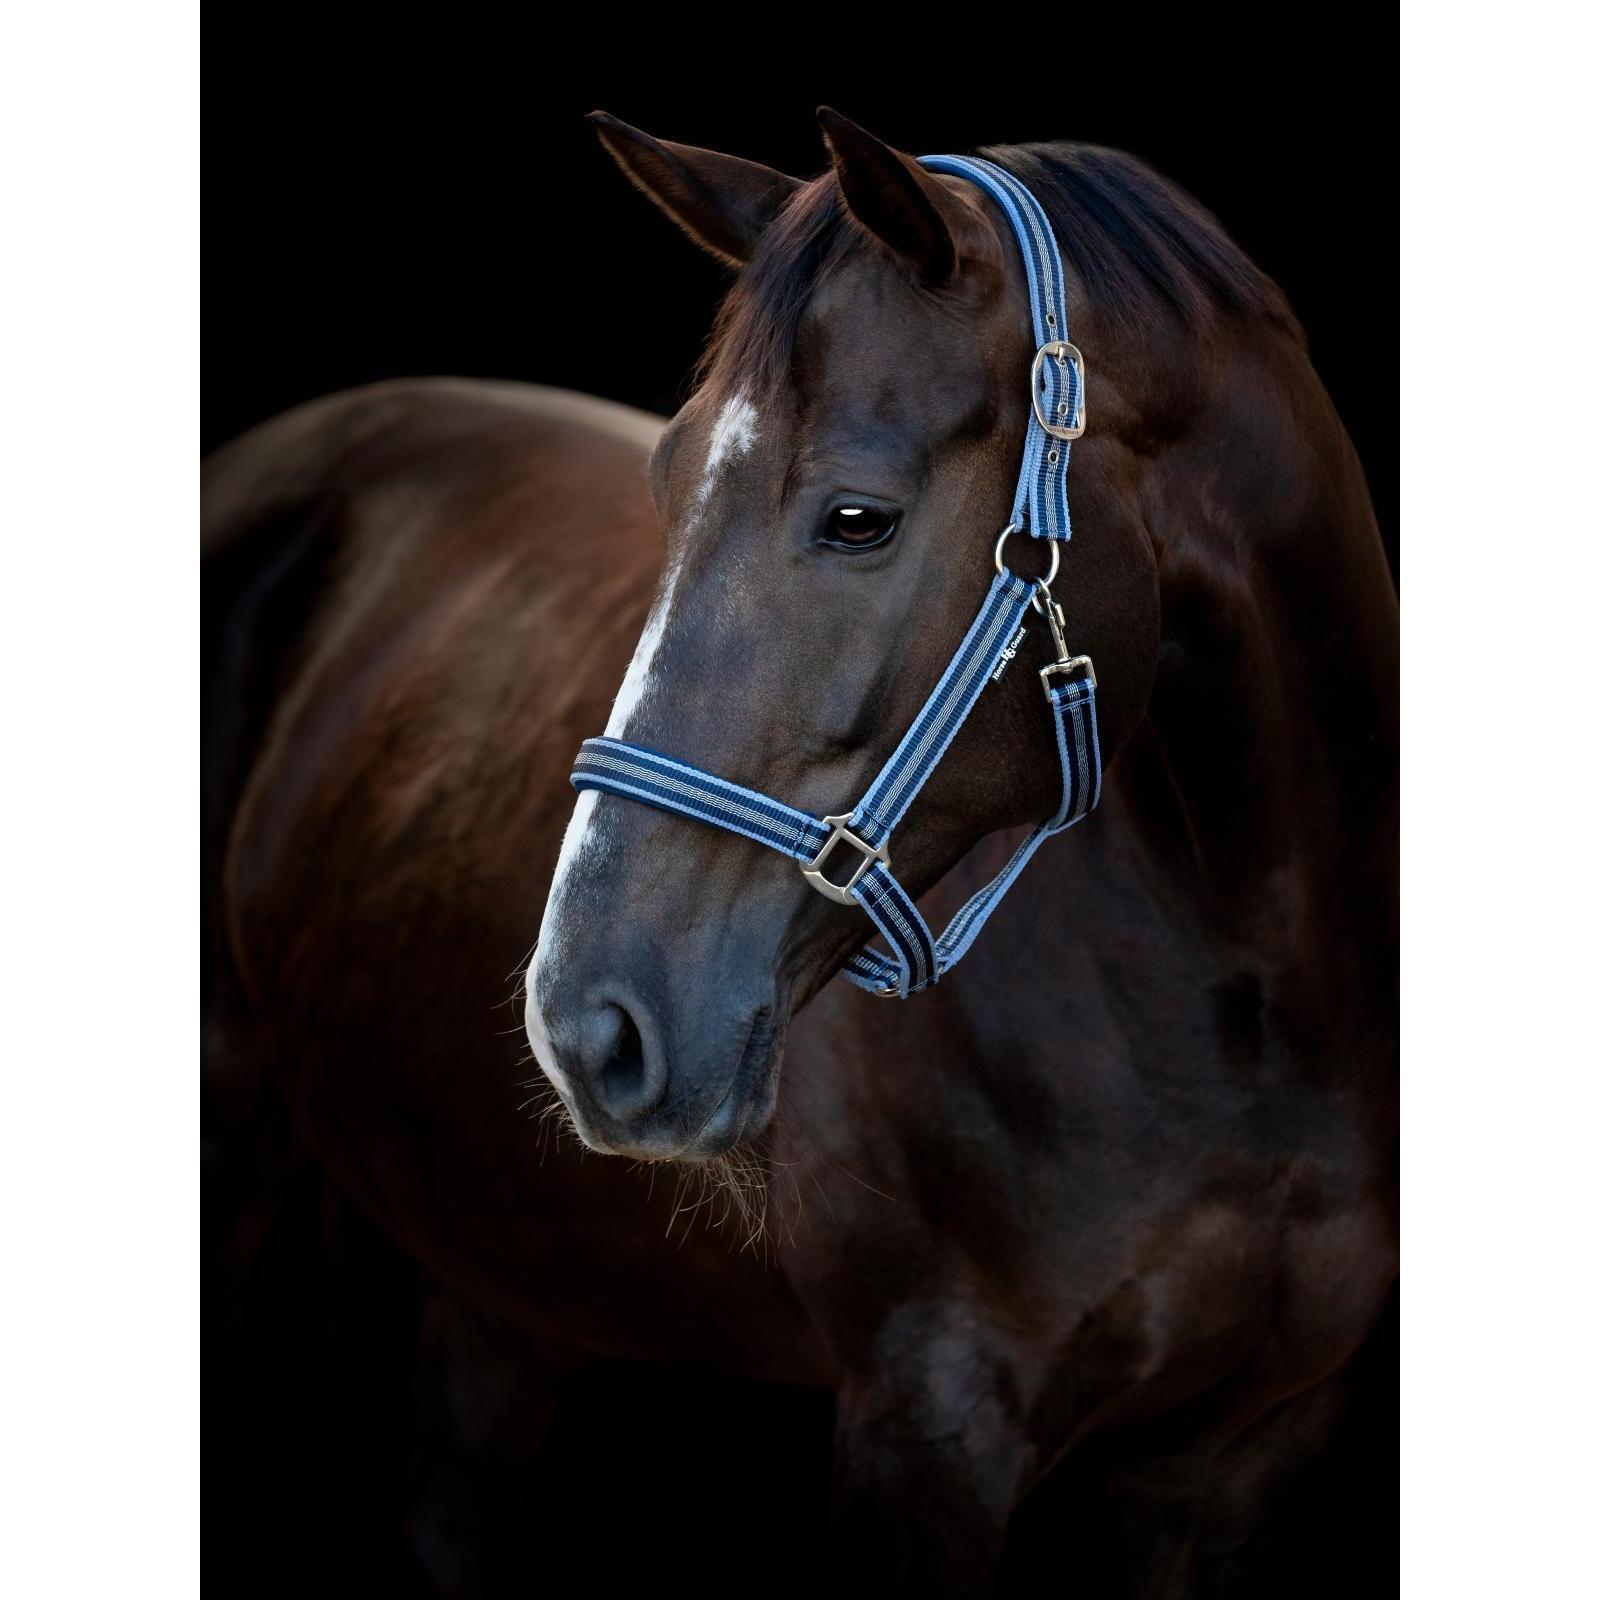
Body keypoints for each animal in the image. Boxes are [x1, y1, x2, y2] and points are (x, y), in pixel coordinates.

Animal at [203, 110, 1396, 1596]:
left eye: (857, 517)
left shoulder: (1242, 1449)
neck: (1253, 999)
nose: (585, 1021)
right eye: (665, 482)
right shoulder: (926, 1423)